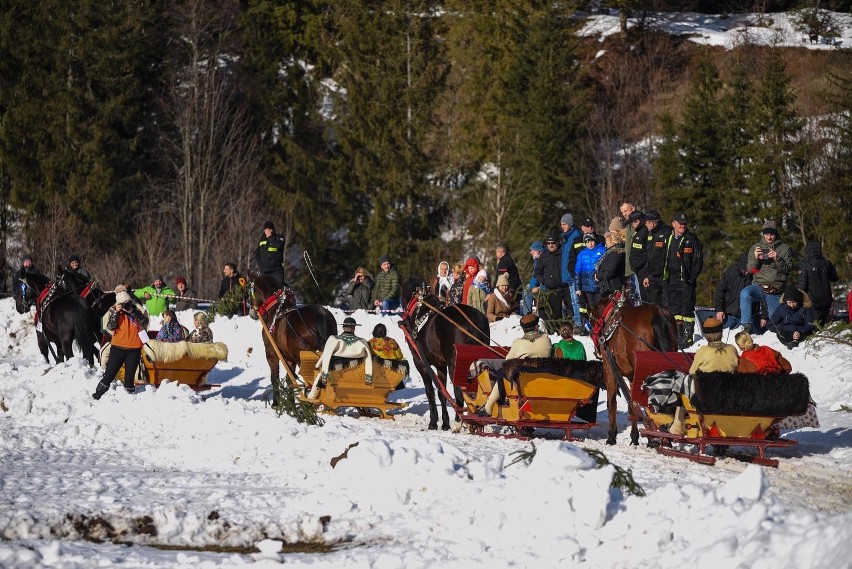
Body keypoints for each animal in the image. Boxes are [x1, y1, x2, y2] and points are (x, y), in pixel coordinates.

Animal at [246, 272, 336, 406]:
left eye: (248, 291)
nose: (252, 313)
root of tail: (320, 315)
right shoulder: (289, 358)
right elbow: (290, 380)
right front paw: (291, 403)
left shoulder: (271, 352)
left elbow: (275, 378)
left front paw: (276, 403)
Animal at [402, 286, 490, 428]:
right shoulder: (441, 365)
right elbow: (441, 392)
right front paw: (445, 422)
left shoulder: (420, 363)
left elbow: (430, 392)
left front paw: (433, 421)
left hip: (454, 364)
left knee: (459, 389)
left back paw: (459, 421)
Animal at [592, 298, 680, 444]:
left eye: (592, 319)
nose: (592, 335)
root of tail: (656, 312)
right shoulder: (632, 376)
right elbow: (632, 405)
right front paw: (634, 436)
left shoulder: (609, 368)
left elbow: (612, 402)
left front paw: (611, 436)